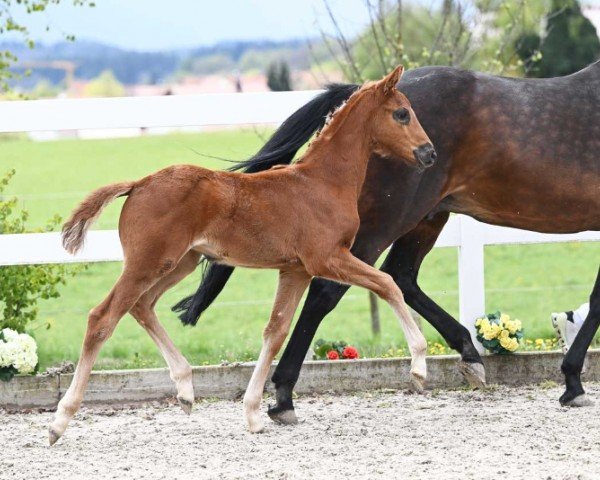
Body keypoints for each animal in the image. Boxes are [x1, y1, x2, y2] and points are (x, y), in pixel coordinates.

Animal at [50, 65, 436, 444]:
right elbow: (387, 283)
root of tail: (138, 184)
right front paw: (418, 367)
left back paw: (185, 389)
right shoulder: (326, 258)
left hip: (180, 262)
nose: (429, 153)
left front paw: (253, 413)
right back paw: (60, 421)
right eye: (402, 113)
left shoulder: (296, 270)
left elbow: (275, 331)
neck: (322, 182)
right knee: (103, 318)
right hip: (148, 262)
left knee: (142, 306)